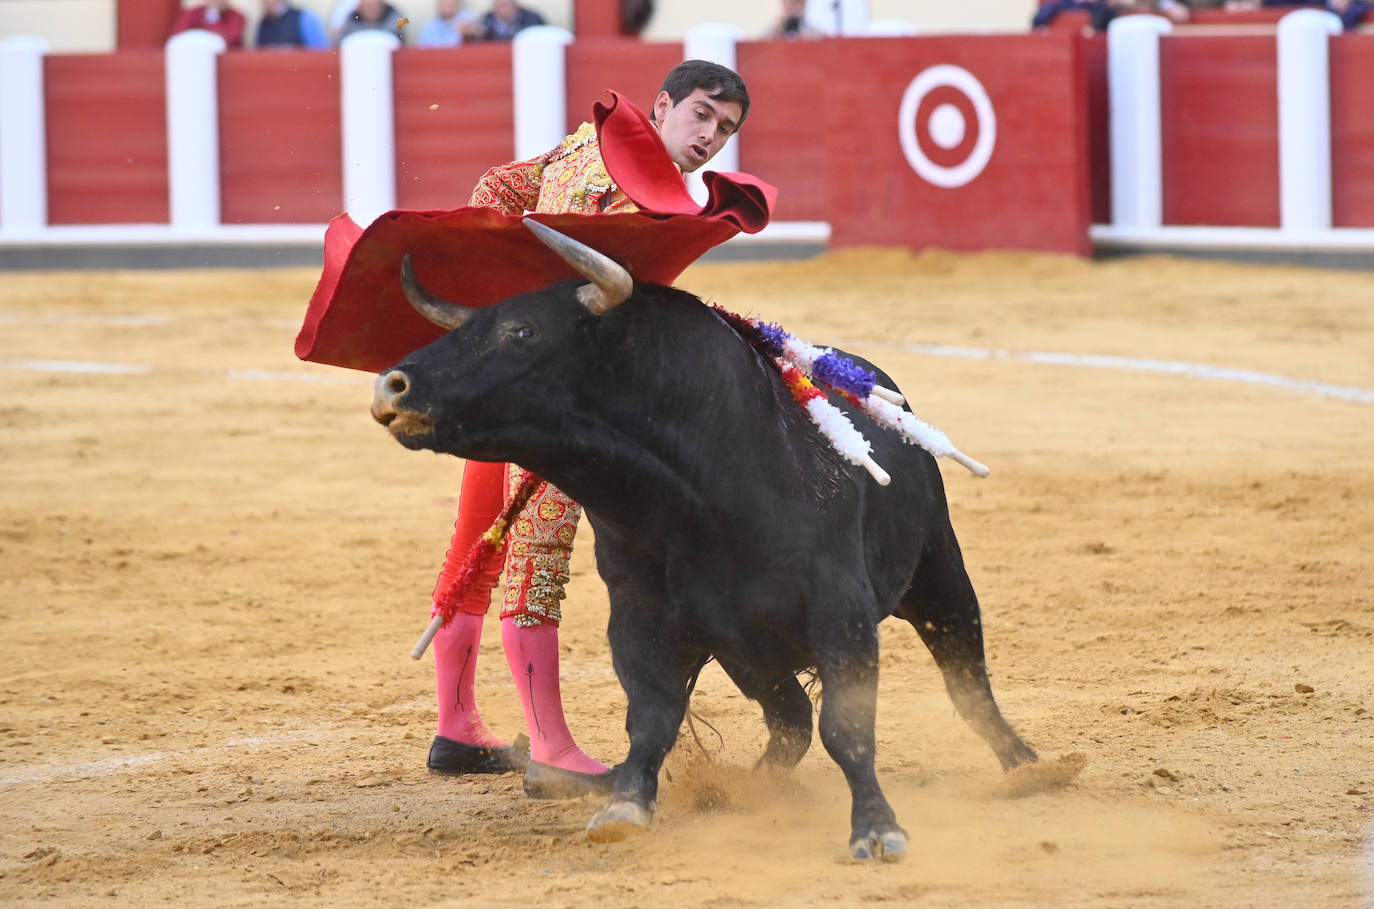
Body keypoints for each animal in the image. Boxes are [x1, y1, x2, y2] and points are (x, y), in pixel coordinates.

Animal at [370, 227, 1033, 862]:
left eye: (522, 330)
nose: (391, 386)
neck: (696, 499)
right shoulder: (640, 614)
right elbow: (651, 715)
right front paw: (625, 806)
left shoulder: (839, 609)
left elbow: (847, 725)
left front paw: (875, 828)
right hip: (750, 652)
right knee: (791, 718)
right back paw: (755, 785)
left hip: (936, 570)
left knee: (964, 674)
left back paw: (1025, 765)